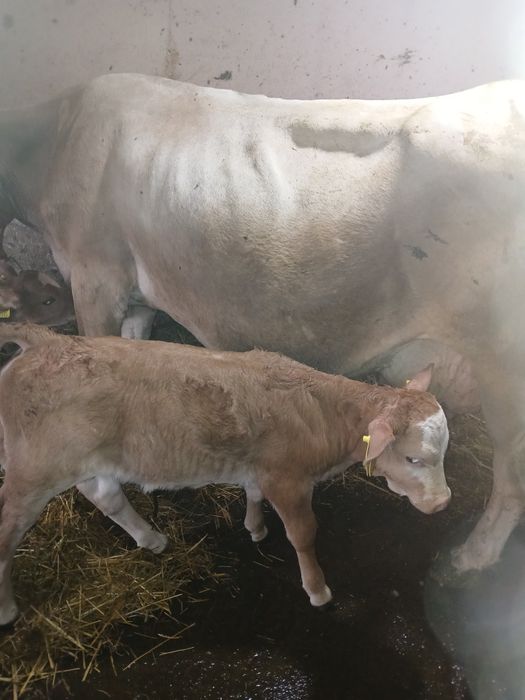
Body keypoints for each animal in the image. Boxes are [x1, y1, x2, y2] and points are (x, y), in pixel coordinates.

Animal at [0, 74, 523, 575]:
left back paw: (474, 556)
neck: (54, 140)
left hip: (503, 364)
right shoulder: (135, 291)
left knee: (512, 476)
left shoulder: (95, 275)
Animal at [0, 323, 450, 624]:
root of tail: (51, 340)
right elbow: (304, 535)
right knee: (8, 529)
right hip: (32, 470)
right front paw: (317, 589)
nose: (444, 503)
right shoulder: (288, 479)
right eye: (413, 459)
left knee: (104, 495)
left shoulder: (260, 467)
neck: (321, 412)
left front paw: (255, 527)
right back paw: (7, 609)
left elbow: (252, 493)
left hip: (90, 459)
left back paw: (152, 539)